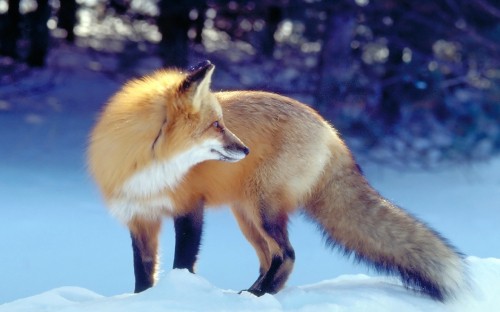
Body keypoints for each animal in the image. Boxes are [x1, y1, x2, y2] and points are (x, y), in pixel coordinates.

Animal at [88, 59, 466, 302]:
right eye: (217, 126)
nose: (245, 149)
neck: (149, 166)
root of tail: (330, 130)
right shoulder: (139, 216)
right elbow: (143, 271)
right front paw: (142, 299)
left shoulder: (190, 208)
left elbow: (183, 262)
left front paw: (179, 295)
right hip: (247, 215)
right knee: (269, 257)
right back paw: (254, 293)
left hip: (263, 209)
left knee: (287, 254)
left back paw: (260, 295)